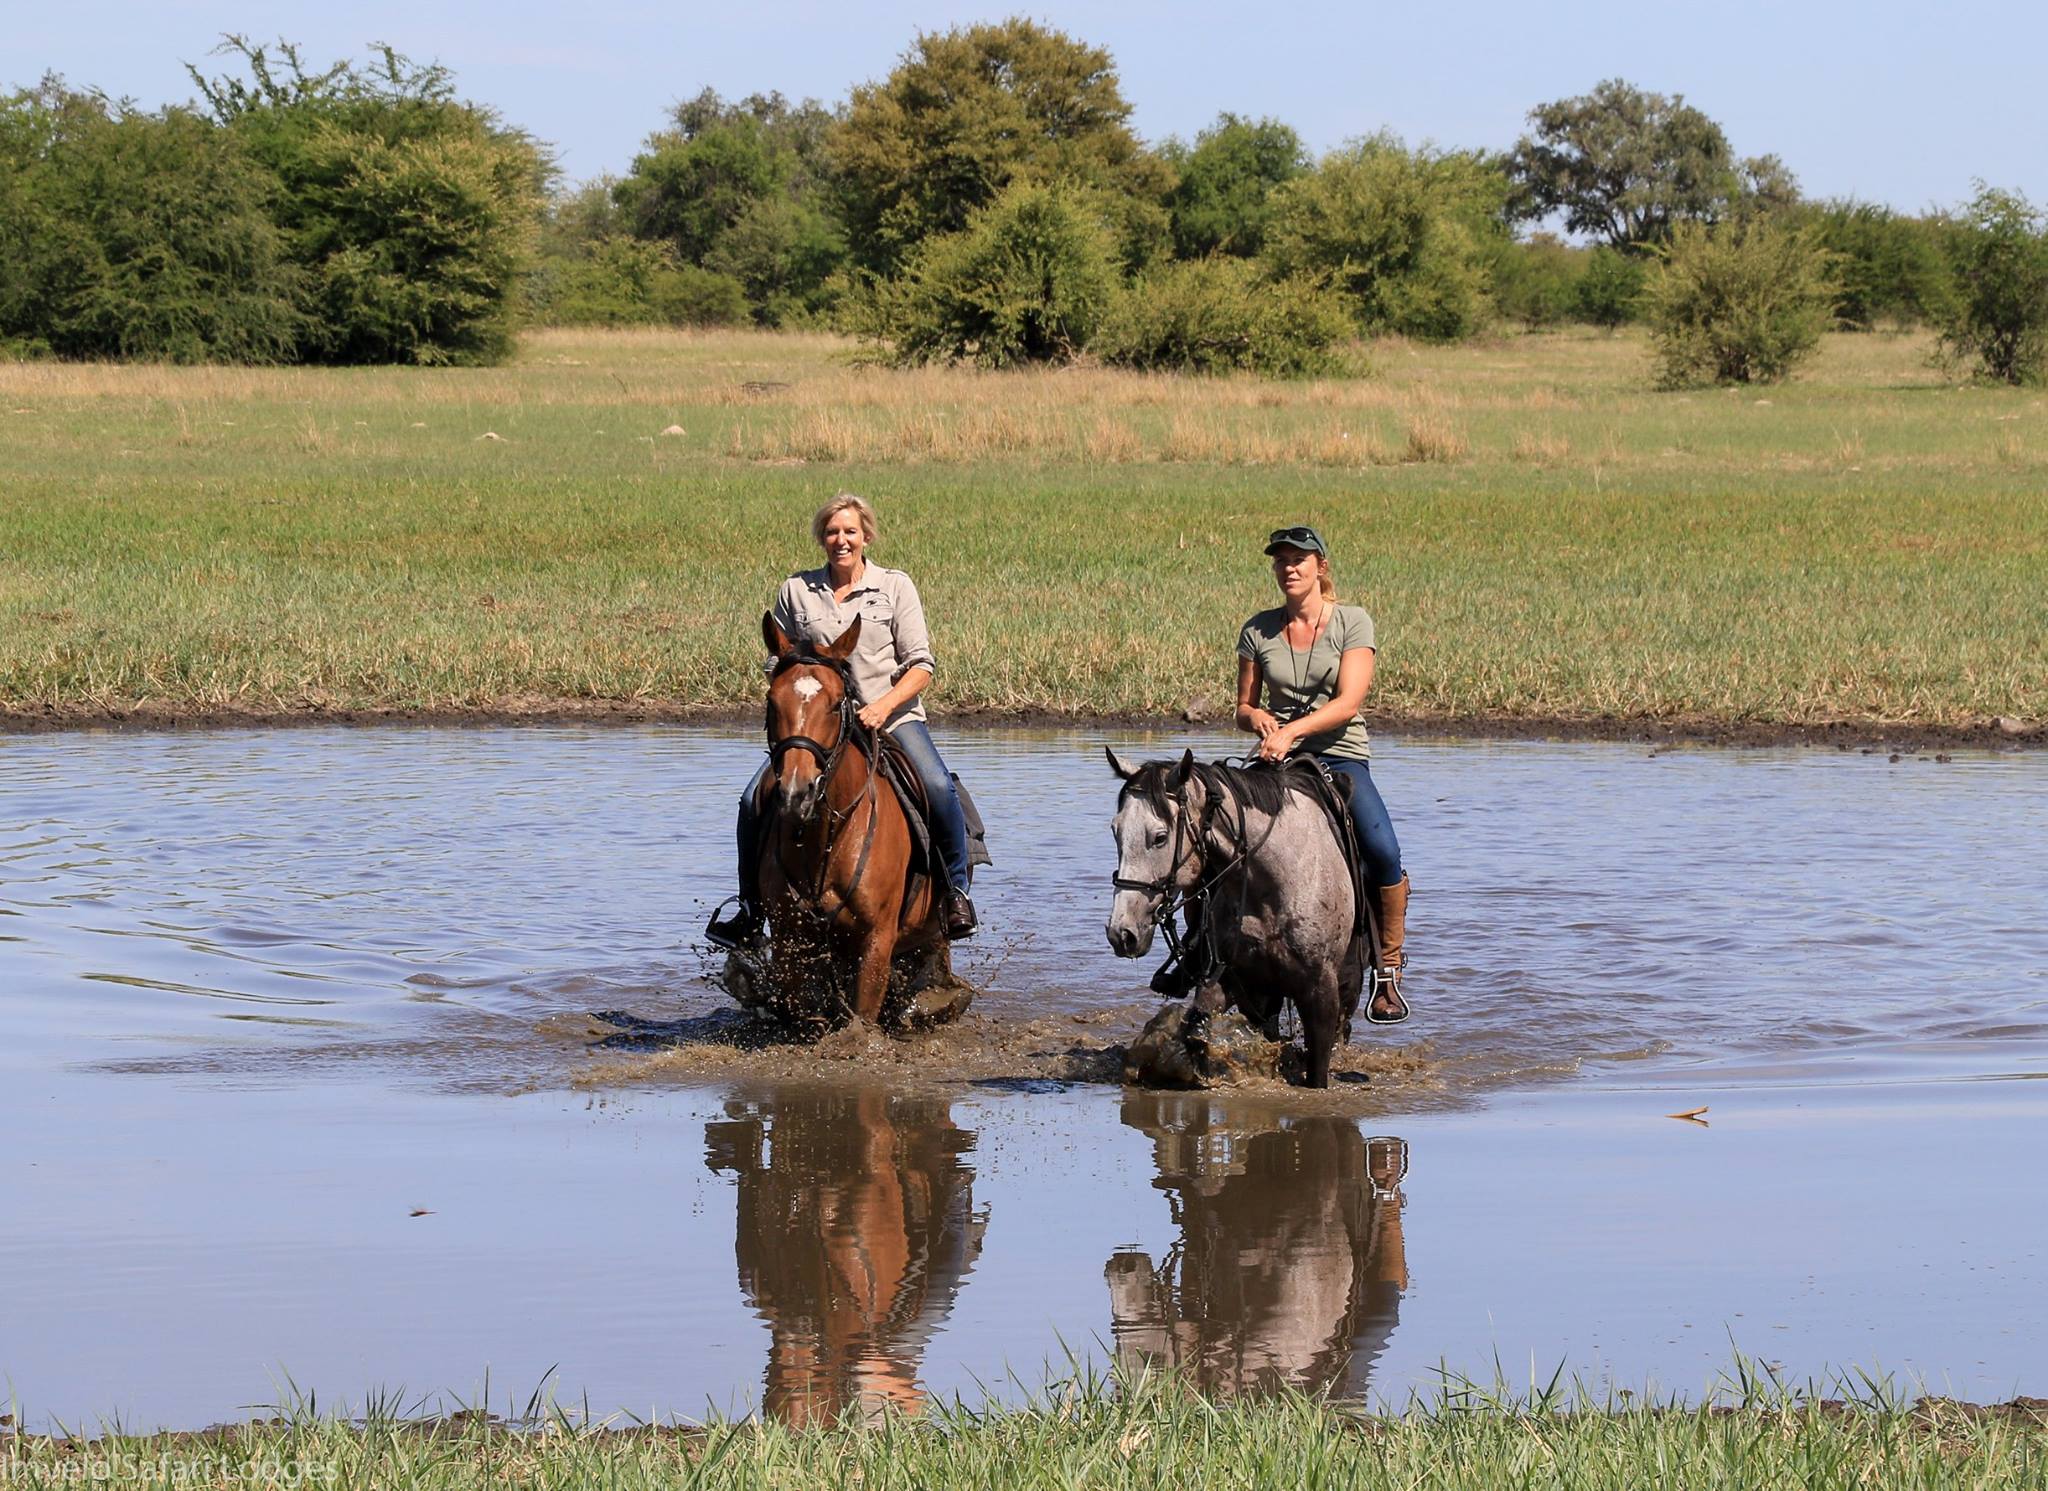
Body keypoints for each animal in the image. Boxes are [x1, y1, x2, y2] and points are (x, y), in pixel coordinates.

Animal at [753, 610, 942, 1024]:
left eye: (837, 702)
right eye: (773, 700)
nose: (796, 793)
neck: (826, 836)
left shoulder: (877, 941)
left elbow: (863, 1018)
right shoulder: (789, 940)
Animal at [1105, 749, 1359, 1089]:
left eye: (1159, 837)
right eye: (1115, 830)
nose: (1121, 933)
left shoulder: (1321, 993)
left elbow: (1317, 1071)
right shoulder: (1232, 979)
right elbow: (1197, 1027)